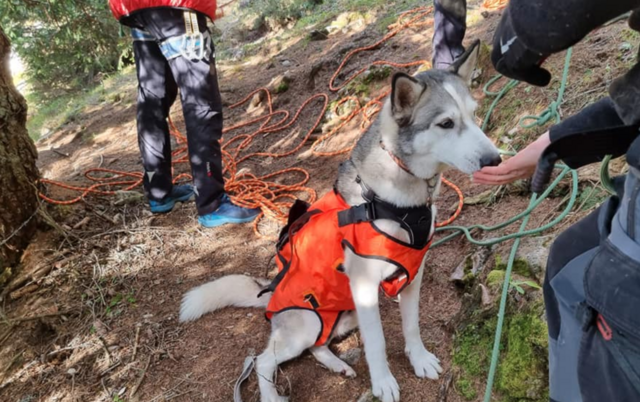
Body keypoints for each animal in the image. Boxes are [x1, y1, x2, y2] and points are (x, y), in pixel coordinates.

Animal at [179, 40, 500, 402]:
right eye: (446, 123)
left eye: (473, 115)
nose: (496, 159)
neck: (398, 201)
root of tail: (270, 289)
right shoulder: (365, 288)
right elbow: (377, 343)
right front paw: (383, 383)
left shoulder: (411, 277)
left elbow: (412, 326)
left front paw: (419, 360)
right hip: (308, 324)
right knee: (263, 360)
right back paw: (274, 393)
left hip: (344, 317)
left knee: (318, 345)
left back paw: (337, 364)